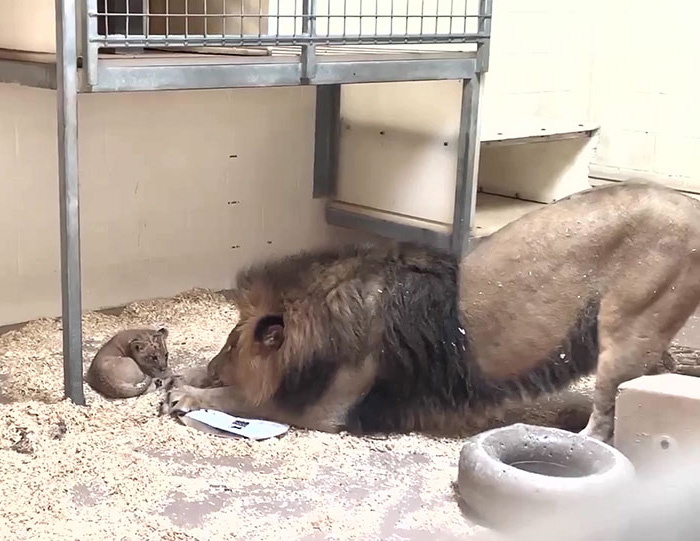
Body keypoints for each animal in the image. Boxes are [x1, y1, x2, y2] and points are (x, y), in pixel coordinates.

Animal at [162, 182, 700, 443]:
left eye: (234, 343)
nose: (219, 361)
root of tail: (689, 209)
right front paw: (182, 375)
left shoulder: (323, 409)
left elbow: (239, 398)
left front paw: (188, 393)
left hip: (625, 333)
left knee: (607, 418)